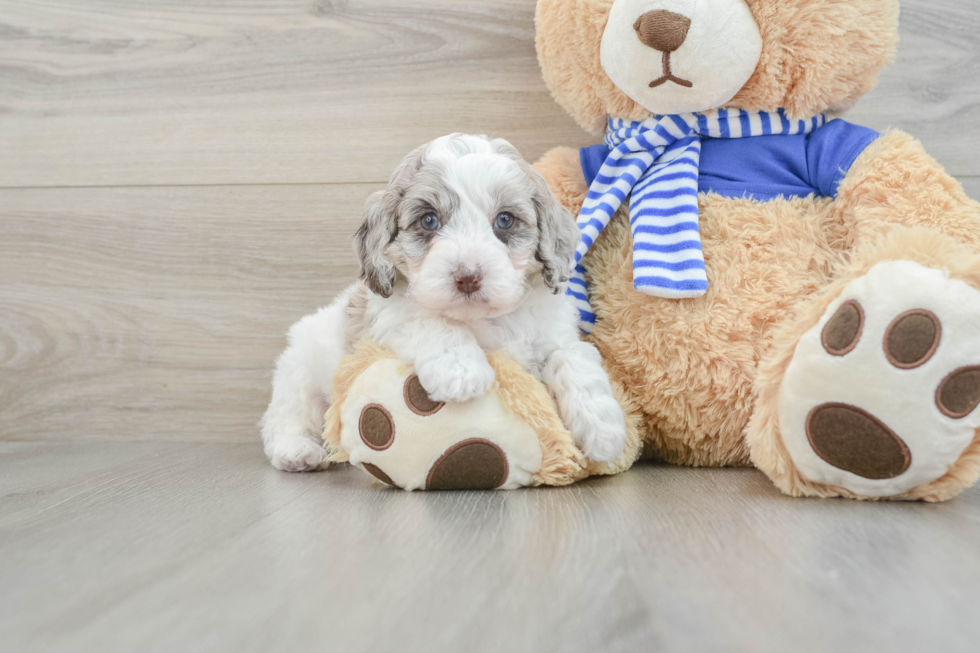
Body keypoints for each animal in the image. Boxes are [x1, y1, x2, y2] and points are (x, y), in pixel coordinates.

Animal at [260, 134, 628, 468]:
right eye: (429, 220)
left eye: (505, 219)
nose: (468, 277)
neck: (483, 318)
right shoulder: (387, 320)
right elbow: (429, 320)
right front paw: (461, 371)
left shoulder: (555, 334)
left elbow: (573, 358)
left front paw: (604, 429)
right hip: (300, 372)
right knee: (286, 417)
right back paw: (298, 451)